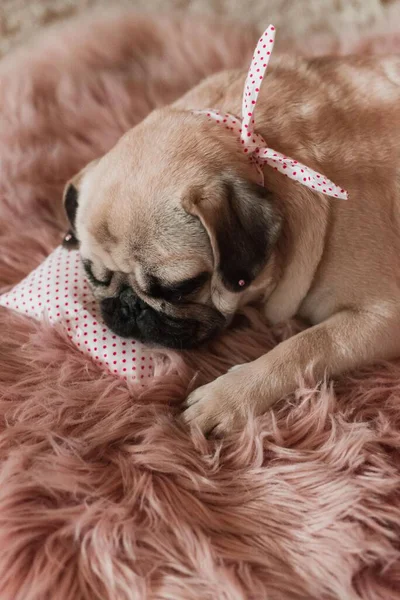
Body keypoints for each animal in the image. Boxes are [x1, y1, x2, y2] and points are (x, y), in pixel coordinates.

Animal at [64, 54, 400, 434]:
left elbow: (307, 345)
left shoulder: (383, 314)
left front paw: (227, 398)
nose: (129, 306)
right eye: (94, 276)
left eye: (180, 288)